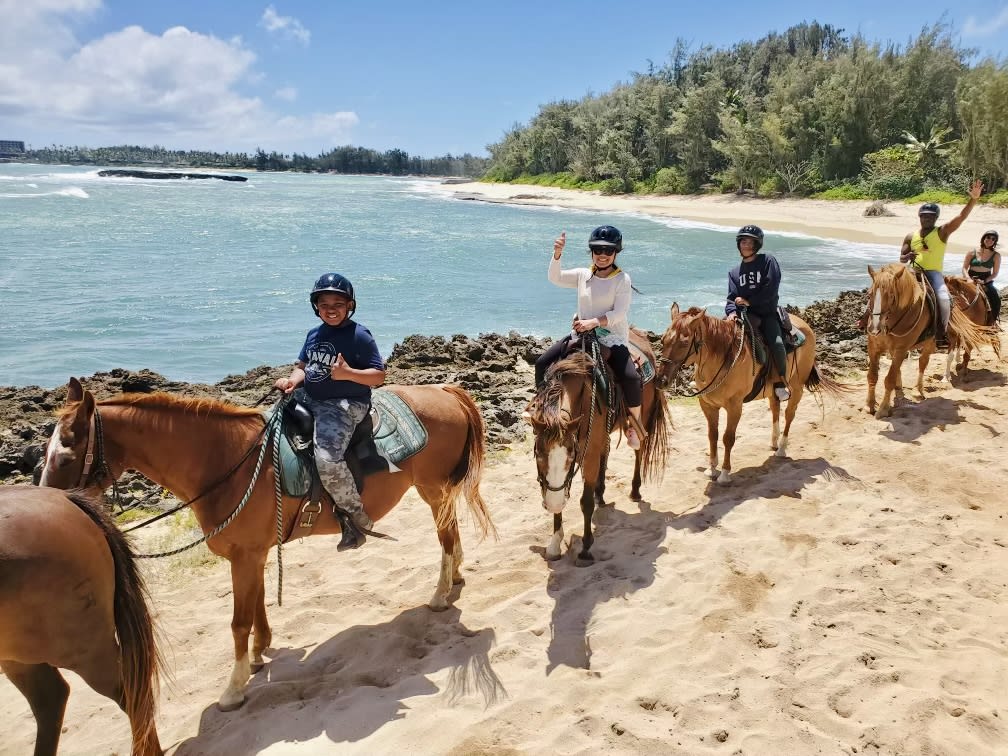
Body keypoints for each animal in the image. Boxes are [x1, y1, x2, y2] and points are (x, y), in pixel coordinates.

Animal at [40, 379, 495, 717]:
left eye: (66, 456)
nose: (51, 506)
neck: (223, 461)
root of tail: (446, 391)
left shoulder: (244, 556)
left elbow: (238, 622)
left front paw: (234, 688)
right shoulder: (254, 553)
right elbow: (257, 604)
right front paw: (260, 654)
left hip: (432, 488)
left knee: (445, 535)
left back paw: (440, 594)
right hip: (439, 489)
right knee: (451, 533)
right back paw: (455, 575)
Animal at [524, 328, 673, 564]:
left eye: (571, 457)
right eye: (538, 454)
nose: (553, 503)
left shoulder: (589, 452)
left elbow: (585, 502)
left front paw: (586, 548)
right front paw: (555, 543)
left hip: (642, 417)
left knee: (639, 450)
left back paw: (635, 490)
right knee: (607, 450)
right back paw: (600, 493)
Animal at [657, 304, 838, 485]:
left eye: (684, 343)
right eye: (663, 340)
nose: (661, 381)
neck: (723, 359)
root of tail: (804, 324)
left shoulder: (734, 407)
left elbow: (728, 438)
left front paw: (724, 473)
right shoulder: (708, 406)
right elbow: (712, 436)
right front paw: (711, 469)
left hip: (797, 386)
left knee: (789, 414)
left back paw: (781, 448)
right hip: (772, 390)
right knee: (775, 408)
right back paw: (774, 441)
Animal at [858, 264, 991, 421]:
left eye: (891, 295)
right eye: (869, 294)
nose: (874, 328)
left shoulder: (901, 349)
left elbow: (889, 379)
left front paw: (883, 409)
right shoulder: (873, 347)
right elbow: (872, 376)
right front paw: (869, 405)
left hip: (931, 343)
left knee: (923, 363)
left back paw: (919, 389)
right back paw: (901, 391)